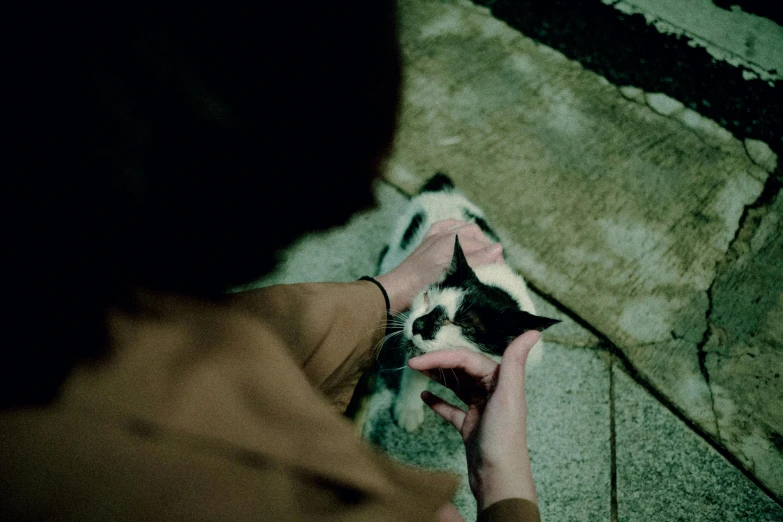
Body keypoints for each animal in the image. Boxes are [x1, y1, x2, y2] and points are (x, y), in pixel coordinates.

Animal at [378, 173, 556, 428]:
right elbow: (414, 372)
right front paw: (408, 407)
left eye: (461, 324)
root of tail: (444, 190)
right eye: (427, 297)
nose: (418, 324)